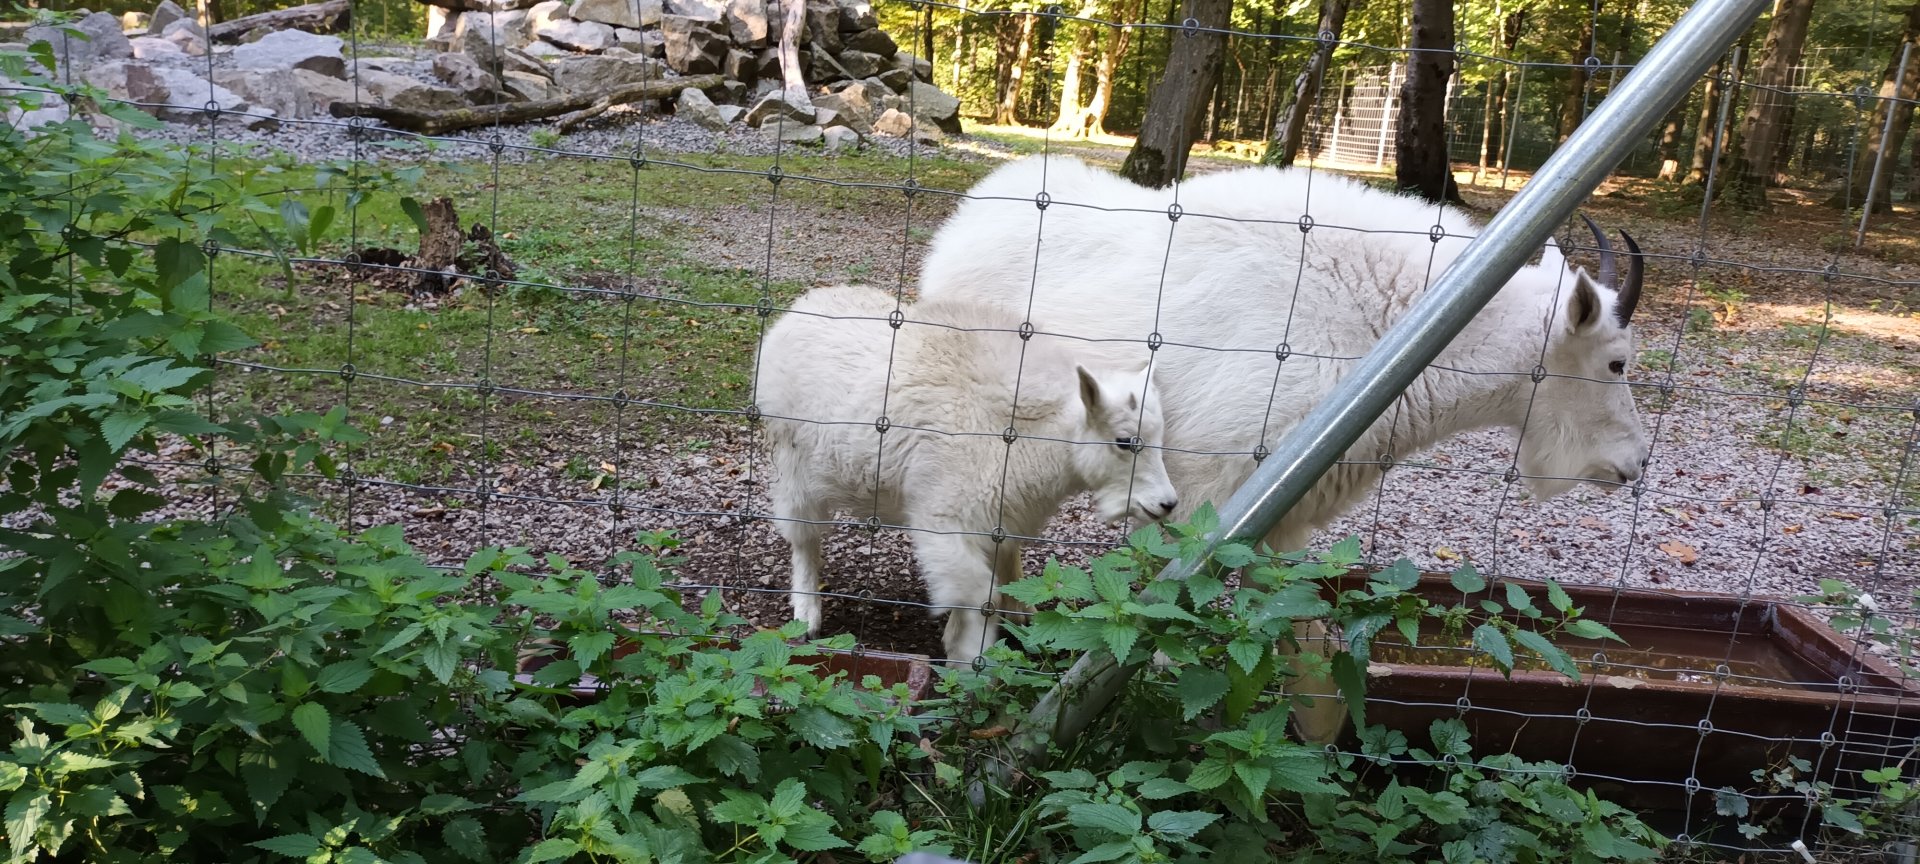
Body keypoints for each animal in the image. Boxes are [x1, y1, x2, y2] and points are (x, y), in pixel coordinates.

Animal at [754, 284, 1182, 667]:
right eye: (1124, 441)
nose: (1166, 503)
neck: (1034, 435)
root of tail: (797, 311)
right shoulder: (947, 521)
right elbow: (977, 594)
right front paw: (966, 659)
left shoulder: (1002, 516)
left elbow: (1004, 569)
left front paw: (1019, 617)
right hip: (793, 463)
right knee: (803, 537)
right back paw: (807, 612)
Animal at [918, 156, 1649, 739]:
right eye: (1616, 362)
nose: (1634, 463)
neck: (1384, 328)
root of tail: (962, 225)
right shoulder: (1207, 498)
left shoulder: (1282, 514)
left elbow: (1303, 637)